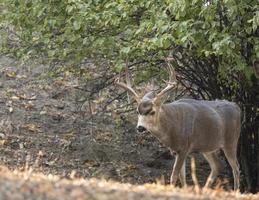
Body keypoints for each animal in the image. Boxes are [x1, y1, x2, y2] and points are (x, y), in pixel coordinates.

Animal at [116, 63, 242, 191]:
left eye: (152, 111)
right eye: (137, 111)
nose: (140, 127)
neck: (171, 128)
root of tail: (237, 107)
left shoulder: (184, 148)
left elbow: (174, 176)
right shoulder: (176, 151)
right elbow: (182, 176)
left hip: (231, 139)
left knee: (236, 167)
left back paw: (235, 190)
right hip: (207, 146)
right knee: (217, 165)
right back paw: (204, 190)